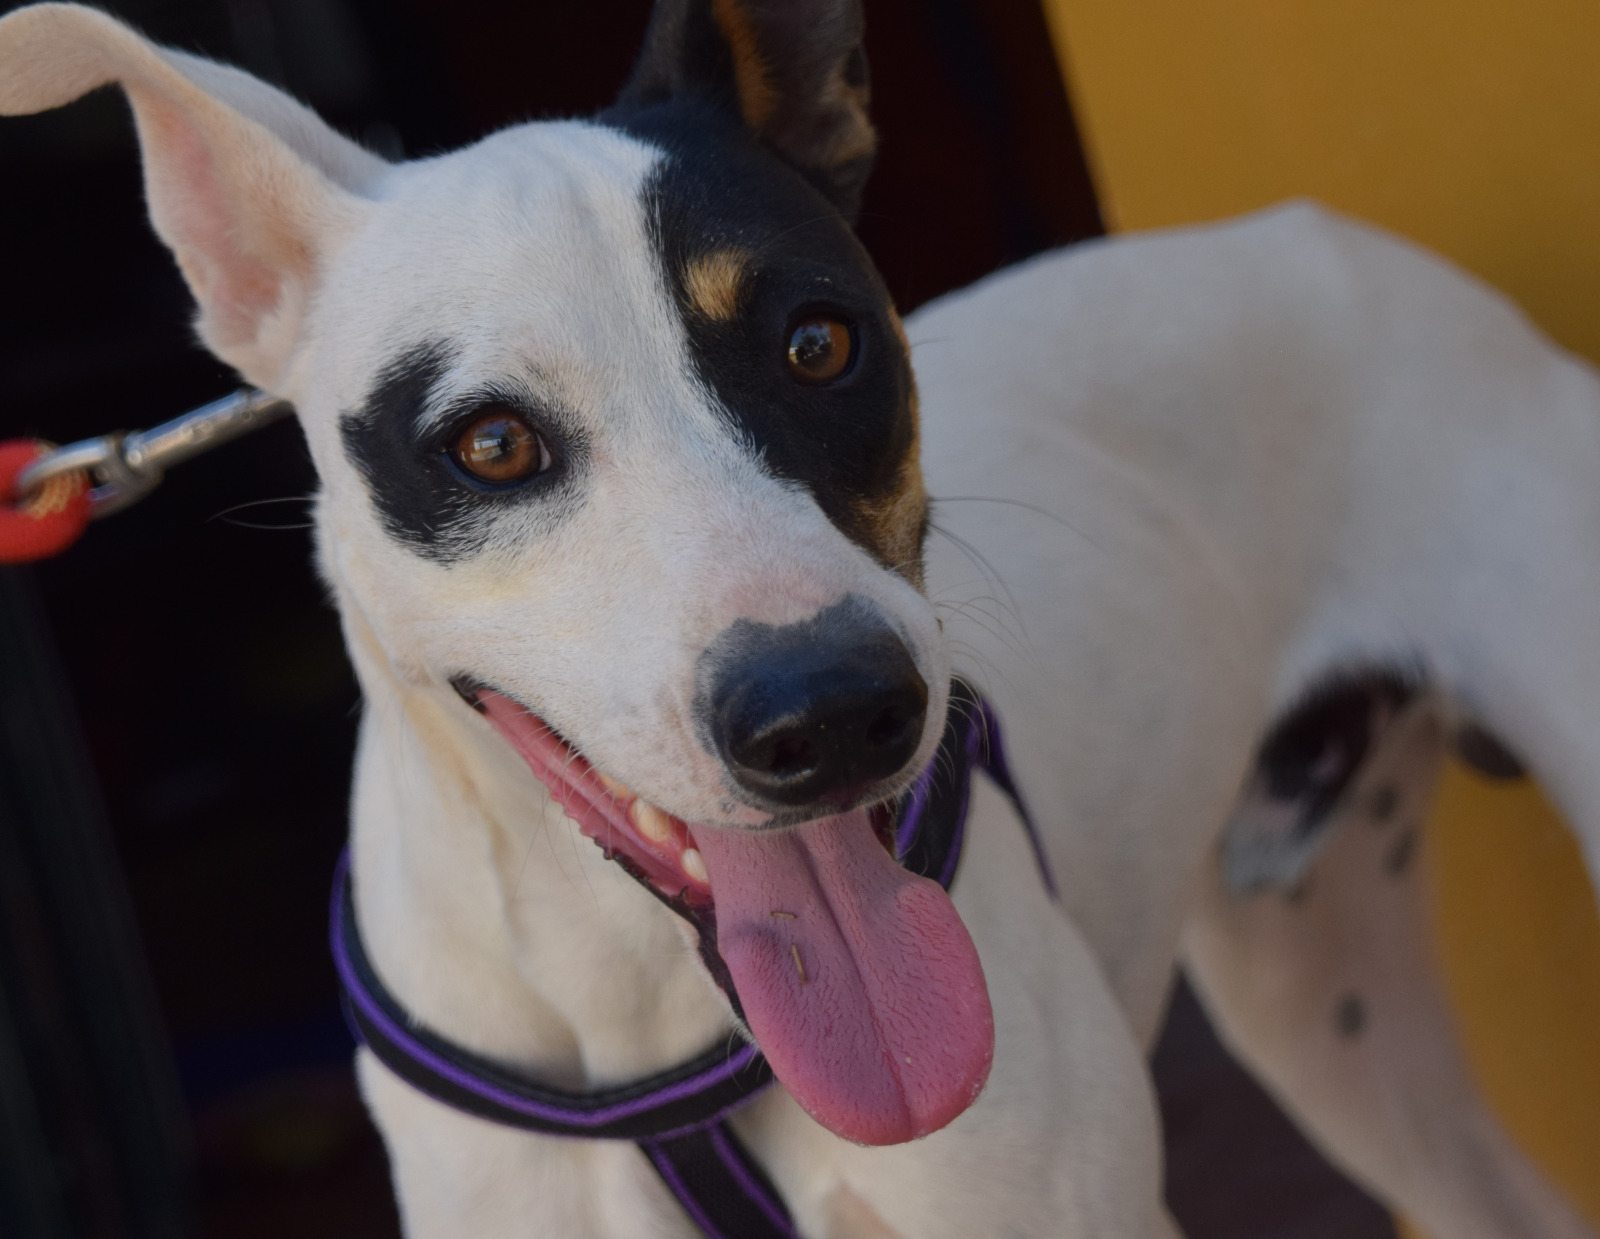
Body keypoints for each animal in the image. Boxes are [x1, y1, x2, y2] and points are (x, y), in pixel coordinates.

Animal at [2, 2, 1596, 1235]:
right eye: (491, 443)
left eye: (818, 343)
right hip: (1321, 1005)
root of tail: (1327, 234)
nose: (834, 716)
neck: (642, 1000)